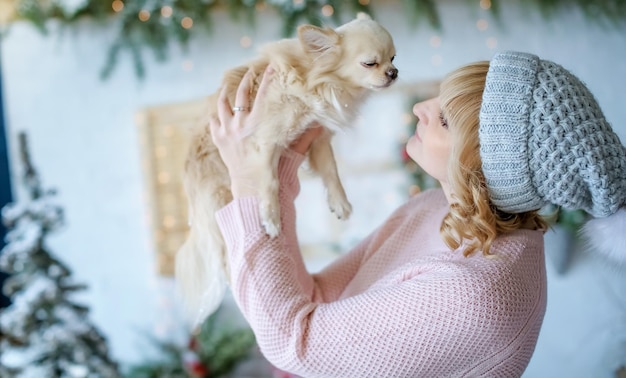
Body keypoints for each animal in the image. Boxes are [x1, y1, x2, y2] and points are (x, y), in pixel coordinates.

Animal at [177, 11, 394, 324]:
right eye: (370, 63)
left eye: (394, 58)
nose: (393, 72)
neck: (317, 79)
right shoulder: (267, 140)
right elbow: (269, 182)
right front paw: (270, 217)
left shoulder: (318, 138)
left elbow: (331, 171)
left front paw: (339, 202)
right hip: (220, 200)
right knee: (227, 259)